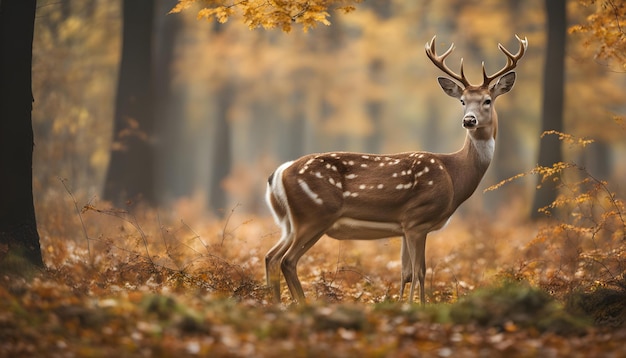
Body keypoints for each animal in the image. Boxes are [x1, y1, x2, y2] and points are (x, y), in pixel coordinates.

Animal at [260, 35, 524, 304]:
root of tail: (278, 174)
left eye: (487, 100)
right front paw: (417, 307)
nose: (469, 120)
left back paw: (275, 302)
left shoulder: (403, 226)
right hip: (315, 214)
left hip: (290, 222)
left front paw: (400, 304)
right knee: (287, 260)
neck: (454, 176)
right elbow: (420, 271)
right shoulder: (418, 219)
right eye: (462, 101)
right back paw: (300, 304)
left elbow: (405, 272)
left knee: (271, 256)